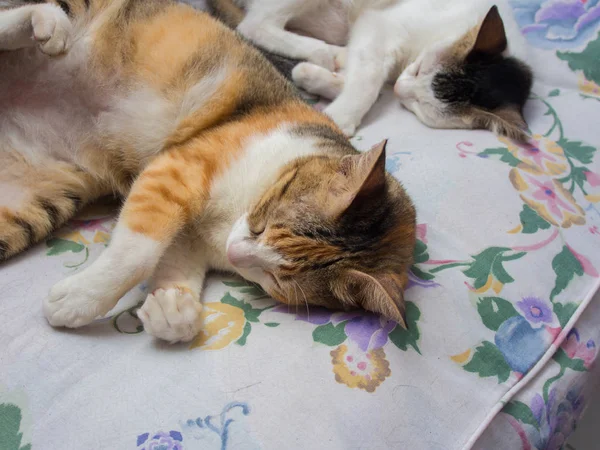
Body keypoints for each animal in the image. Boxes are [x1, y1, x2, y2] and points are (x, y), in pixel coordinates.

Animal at [0, 0, 418, 342]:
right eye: (262, 225)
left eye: (278, 280)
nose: (235, 254)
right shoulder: (180, 165)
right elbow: (138, 253)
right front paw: (76, 300)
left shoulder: (191, 235)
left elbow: (175, 256)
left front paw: (172, 308)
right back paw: (44, 22)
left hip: (30, 205)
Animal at [207, 0, 536, 141]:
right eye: (420, 70)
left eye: (421, 106)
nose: (401, 90)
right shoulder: (380, 24)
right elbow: (369, 78)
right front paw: (339, 118)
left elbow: (365, 74)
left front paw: (316, 77)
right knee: (254, 25)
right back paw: (320, 52)